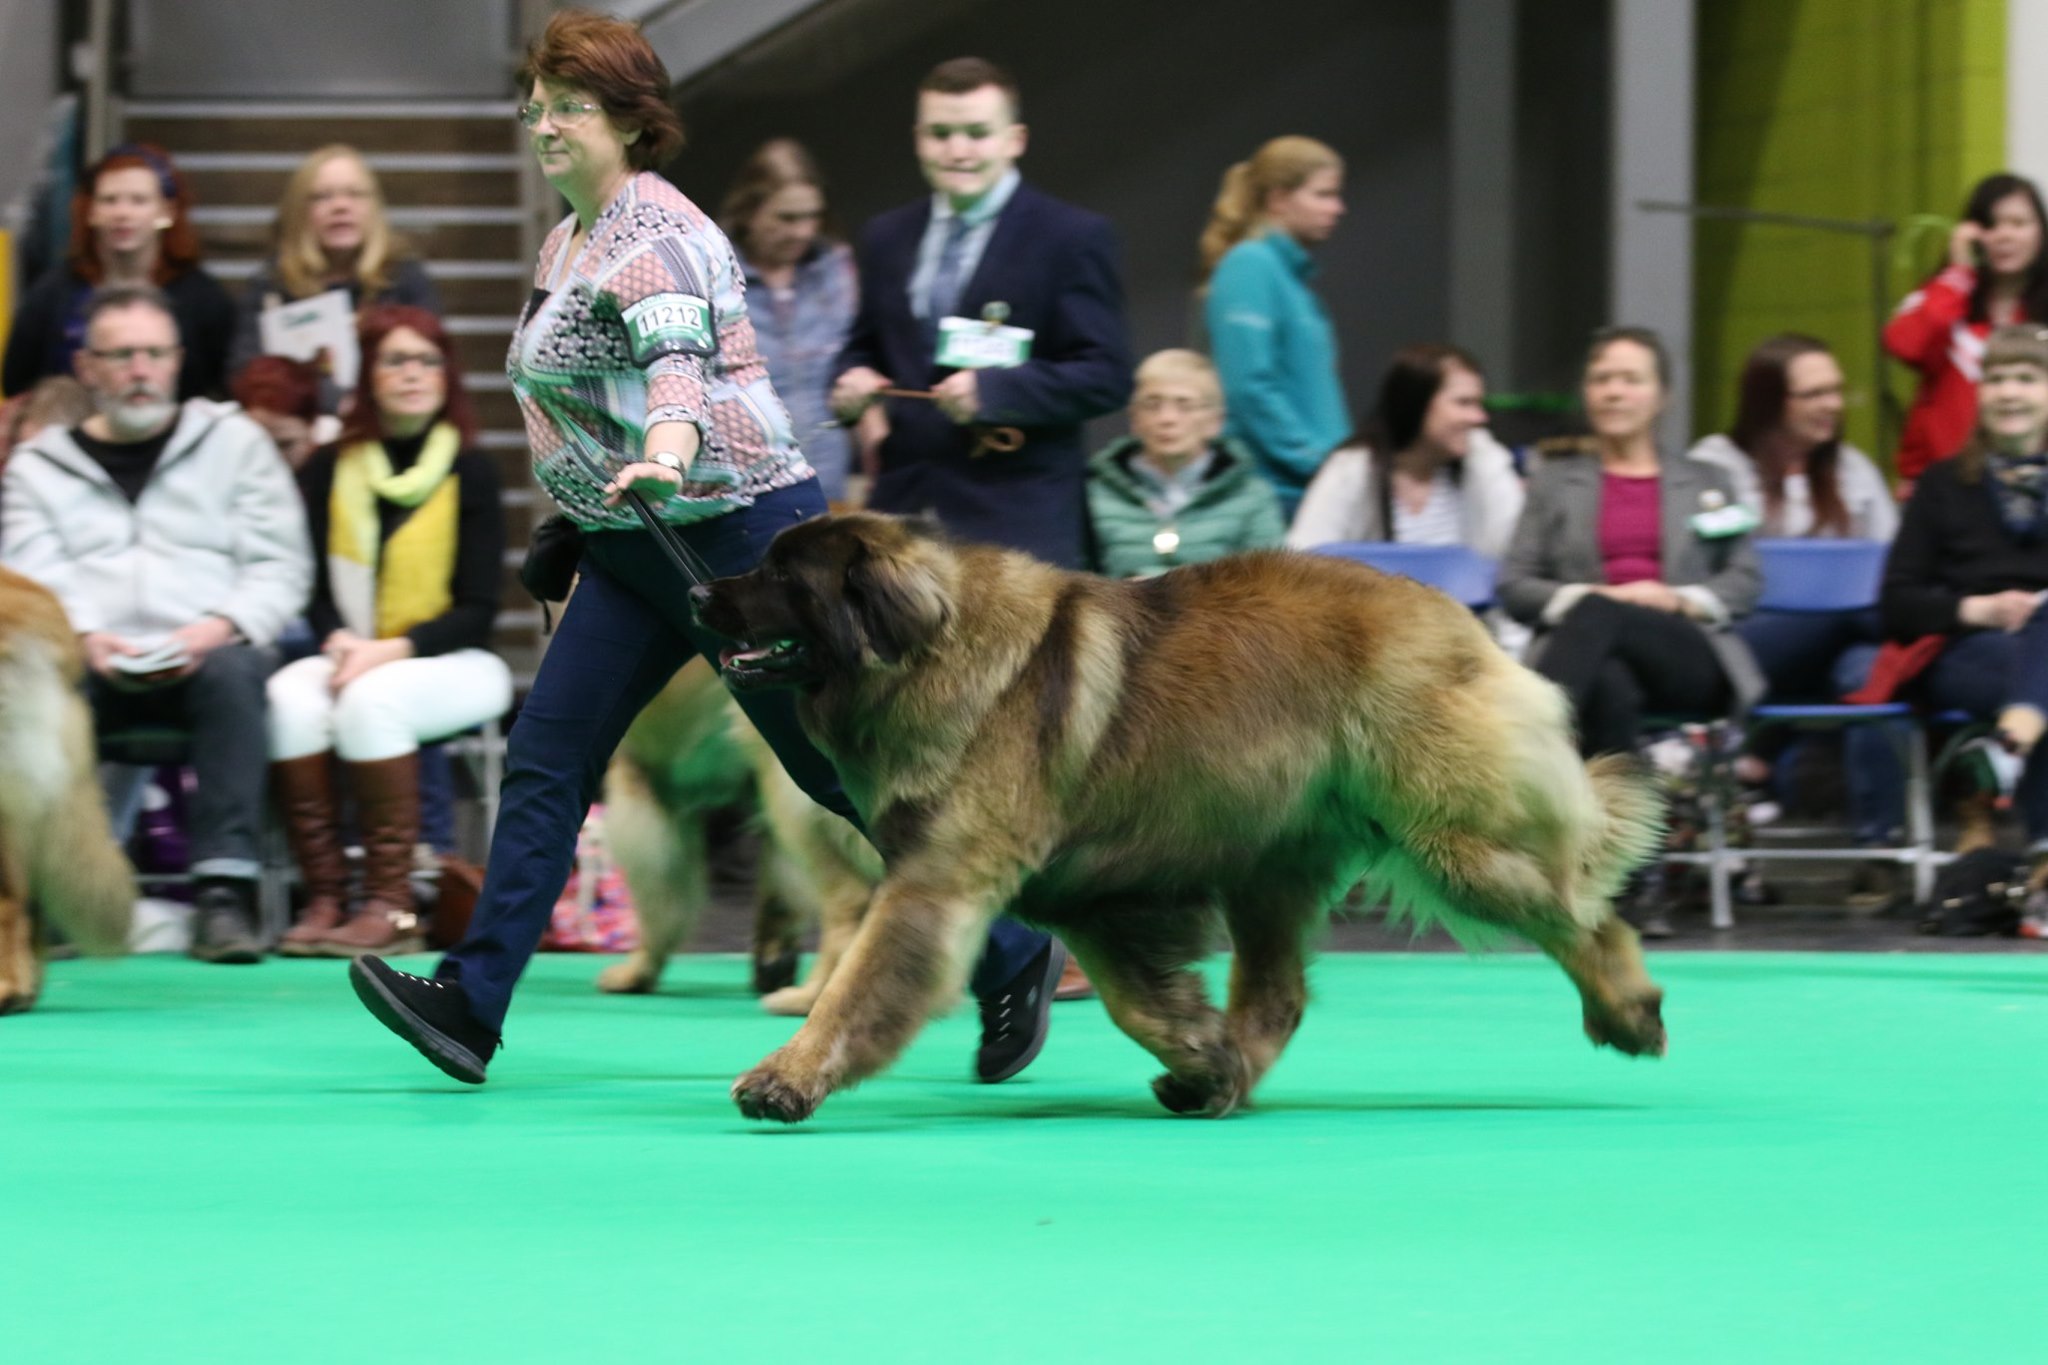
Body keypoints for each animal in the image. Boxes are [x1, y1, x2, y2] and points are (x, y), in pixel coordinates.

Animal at [688, 511, 1662, 1121]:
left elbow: (859, 985)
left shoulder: (933, 884)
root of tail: (1447, 605)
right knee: (1278, 993)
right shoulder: (1088, 897)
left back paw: (1629, 1011)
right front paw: (1201, 1054)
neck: (929, 651)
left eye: (783, 576)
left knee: (1580, 915)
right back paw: (1220, 1080)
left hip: (1453, 846)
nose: (699, 596)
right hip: (1270, 865)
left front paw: (785, 1078)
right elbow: (1137, 1001)